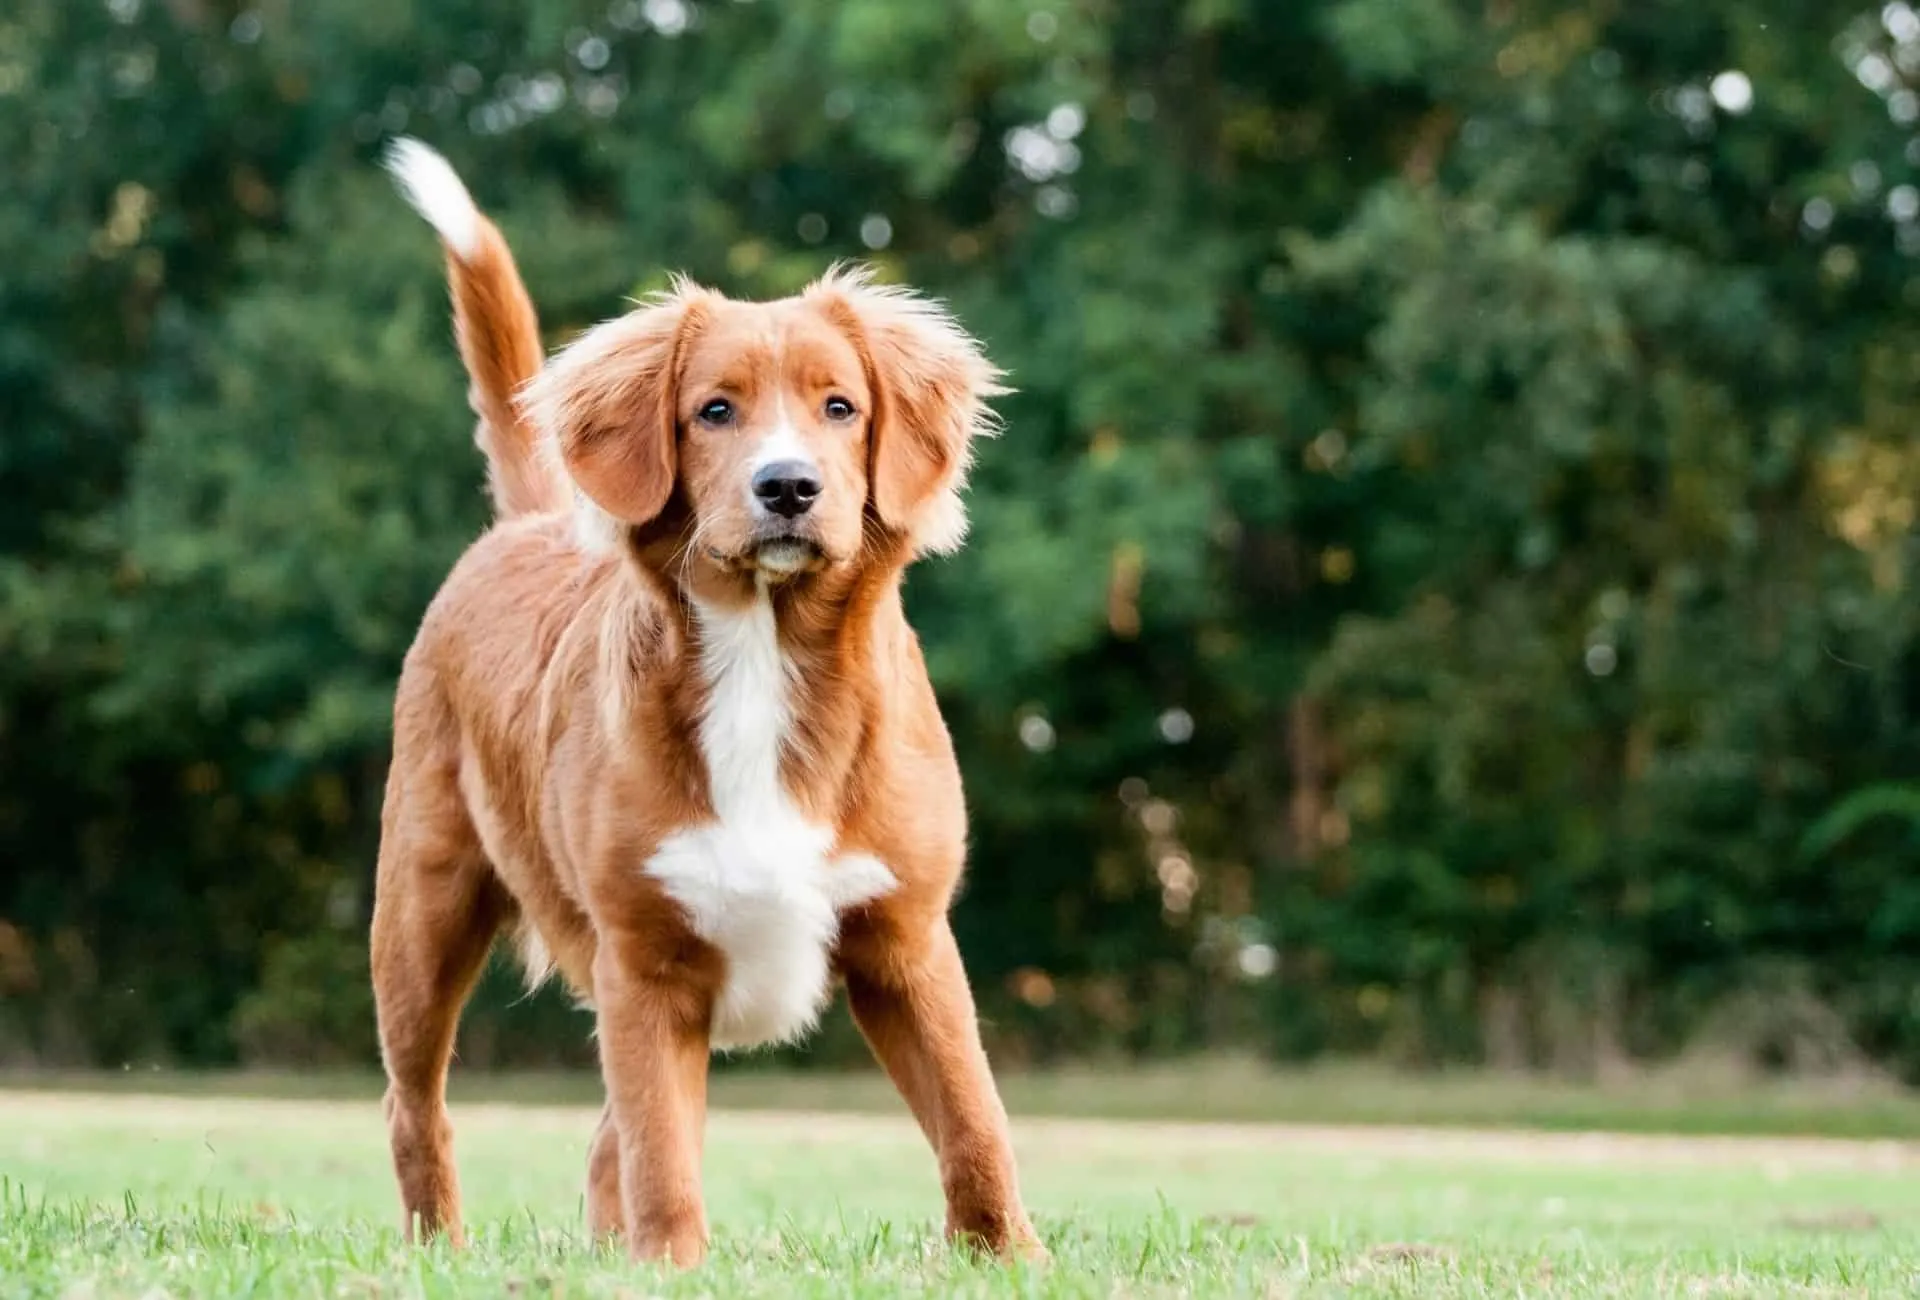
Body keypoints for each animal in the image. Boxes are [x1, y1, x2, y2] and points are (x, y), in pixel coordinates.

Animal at [366, 142, 1044, 1267]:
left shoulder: (907, 939)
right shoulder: (644, 959)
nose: (788, 487)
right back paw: (438, 1252)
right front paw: (671, 1265)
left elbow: (974, 1119)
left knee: (599, 1138)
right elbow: (660, 1148)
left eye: (841, 407)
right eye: (713, 410)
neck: (763, 660)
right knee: (419, 1107)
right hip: (422, 908)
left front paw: (1010, 1258)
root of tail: (528, 524)